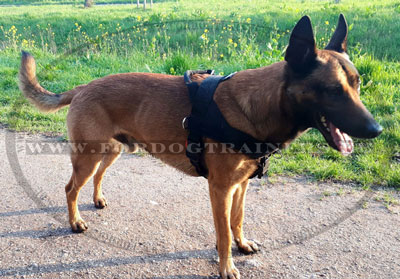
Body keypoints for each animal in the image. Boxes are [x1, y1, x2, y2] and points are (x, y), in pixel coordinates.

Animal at [18, 14, 382, 279]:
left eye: (357, 84)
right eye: (333, 90)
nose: (376, 129)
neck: (257, 106)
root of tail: (82, 87)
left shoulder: (240, 186)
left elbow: (237, 221)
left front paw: (242, 244)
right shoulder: (220, 189)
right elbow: (222, 235)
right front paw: (227, 267)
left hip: (112, 152)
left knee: (96, 178)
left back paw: (97, 199)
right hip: (89, 156)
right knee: (70, 188)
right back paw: (75, 221)